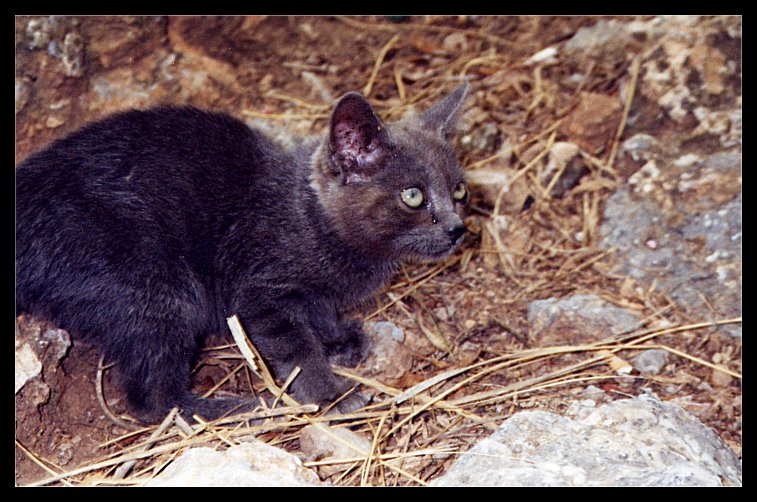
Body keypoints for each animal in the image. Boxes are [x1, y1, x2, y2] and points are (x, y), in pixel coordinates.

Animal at [14, 83, 470, 424]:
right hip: (153, 285)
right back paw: (240, 408)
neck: (310, 217)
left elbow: (320, 313)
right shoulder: (257, 290)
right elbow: (295, 348)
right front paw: (331, 395)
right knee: (152, 399)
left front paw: (339, 341)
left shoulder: (313, 292)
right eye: (413, 195)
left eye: (460, 191)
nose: (456, 229)